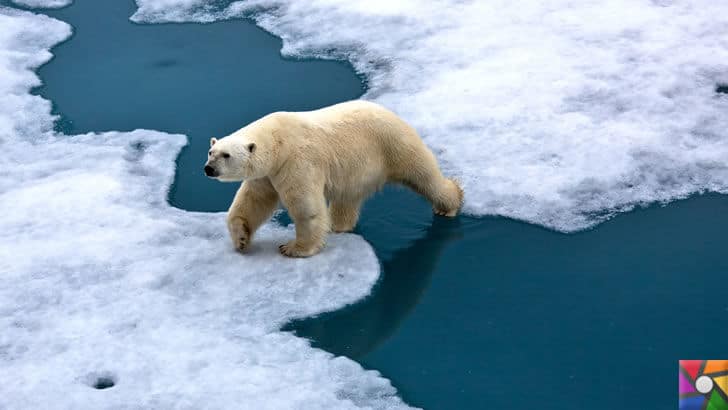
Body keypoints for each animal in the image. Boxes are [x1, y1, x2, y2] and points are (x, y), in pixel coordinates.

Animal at [205, 101, 464, 258]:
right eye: (211, 152)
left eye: (226, 155)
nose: (208, 169)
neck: (278, 140)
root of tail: (392, 113)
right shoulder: (267, 174)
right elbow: (253, 202)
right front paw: (240, 238)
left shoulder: (296, 161)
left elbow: (305, 207)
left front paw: (294, 248)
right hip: (357, 169)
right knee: (347, 199)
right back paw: (339, 226)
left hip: (394, 145)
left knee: (424, 176)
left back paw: (450, 203)